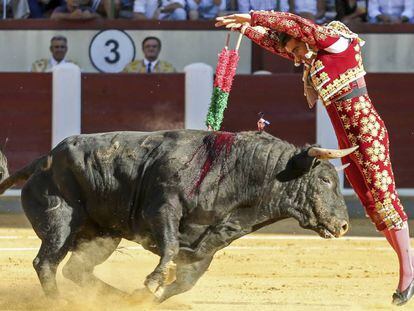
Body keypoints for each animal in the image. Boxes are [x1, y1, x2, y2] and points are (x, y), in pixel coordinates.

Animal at [0, 130, 356, 304]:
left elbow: (183, 282)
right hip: (61, 221)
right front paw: (150, 283)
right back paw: (58, 302)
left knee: (76, 269)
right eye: (325, 180)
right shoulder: (163, 209)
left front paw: (143, 296)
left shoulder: (207, 245)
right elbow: (169, 249)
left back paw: (116, 298)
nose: (343, 225)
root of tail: (42, 159)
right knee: (46, 263)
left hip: (103, 236)